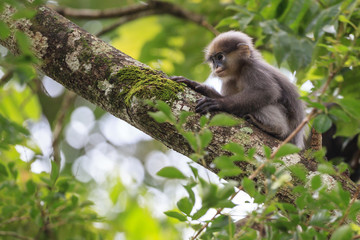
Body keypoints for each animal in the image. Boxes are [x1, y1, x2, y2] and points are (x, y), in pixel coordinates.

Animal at [170, 31, 306, 148]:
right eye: (213, 60)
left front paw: (219, 103)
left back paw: (275, 129)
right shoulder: (229, 81)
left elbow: (268, 92)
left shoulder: (252, 69)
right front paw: (194, 85)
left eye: (220, 57)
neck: (239, 72)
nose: (216, 67)